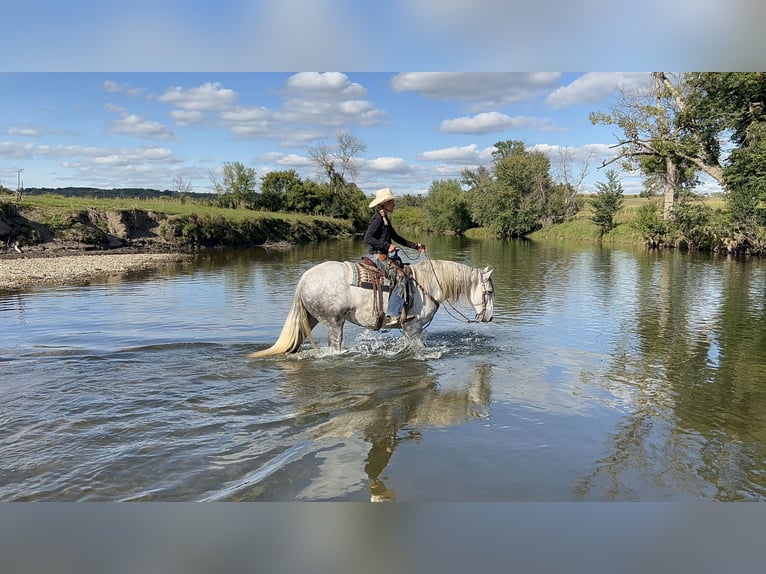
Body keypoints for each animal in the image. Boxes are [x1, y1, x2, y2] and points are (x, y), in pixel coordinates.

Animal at [249, 259, 494, 357]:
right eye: (489, 291)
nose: (490, 318)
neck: (428, 285)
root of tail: (305, 278)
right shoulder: (412, 327)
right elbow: (419, 348)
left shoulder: (410, 330)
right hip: (333, 323)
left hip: (310, 318)